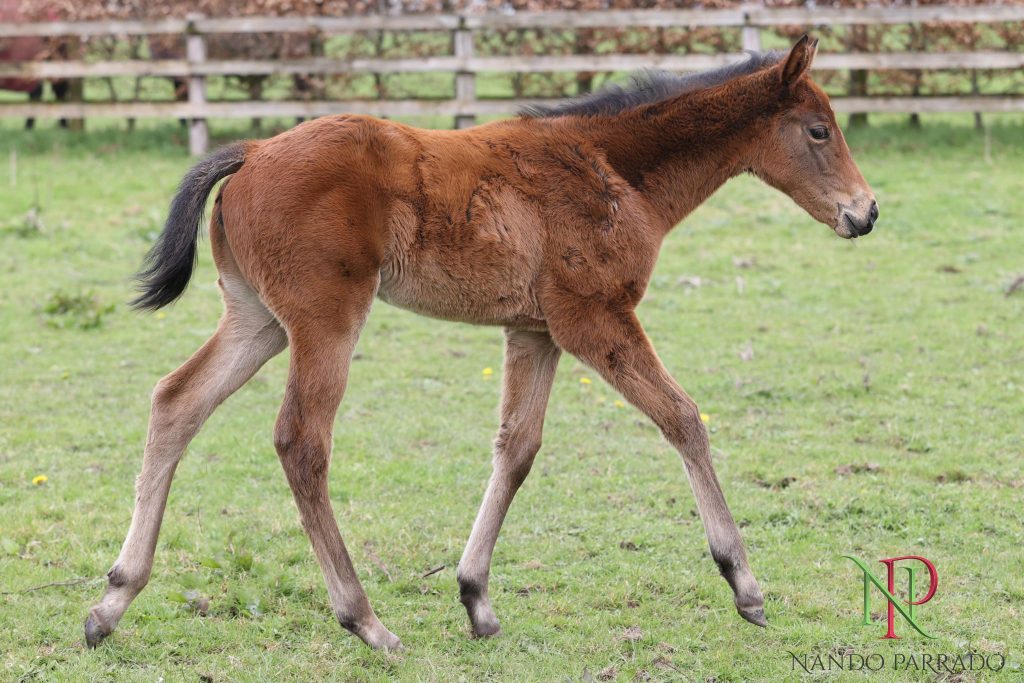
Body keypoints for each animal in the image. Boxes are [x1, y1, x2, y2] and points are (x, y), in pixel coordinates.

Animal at [83, 37, 876, 651]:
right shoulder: (594, 317)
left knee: (176, 401)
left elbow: (517, 447)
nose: (865, 213)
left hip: (259, 320)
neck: (612, 167)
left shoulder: (536, 330)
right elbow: (682, 417)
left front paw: (476, 597)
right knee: (301, 441)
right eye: (818, 130)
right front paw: (744, 583)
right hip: (325, 318)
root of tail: (250, 152)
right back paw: (365, 620)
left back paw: (112, 600)